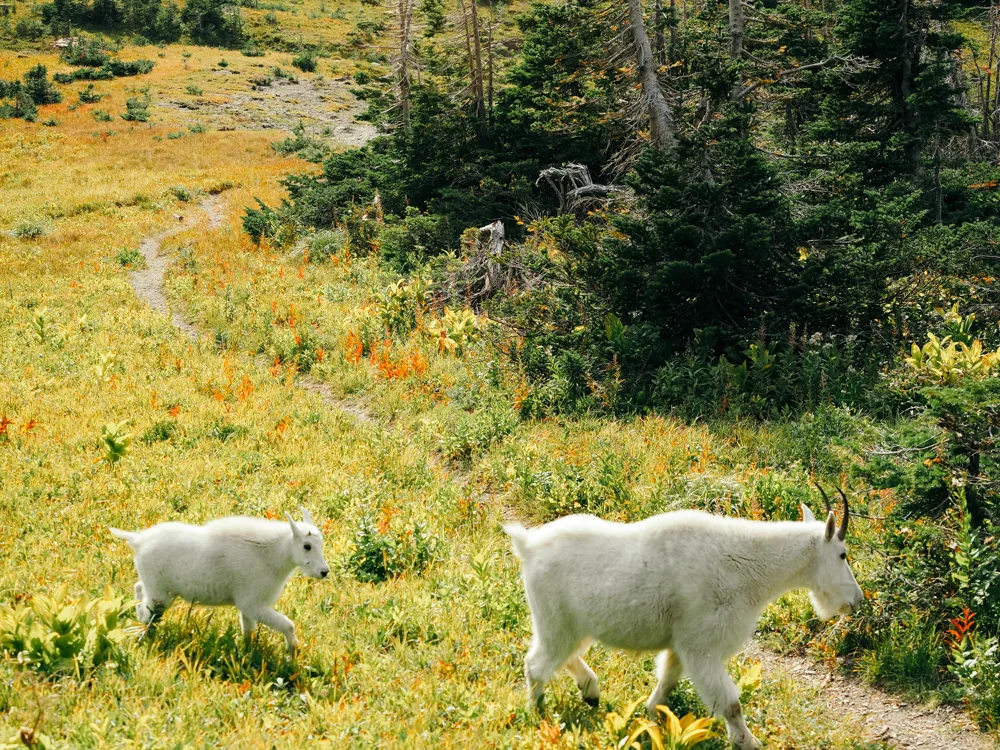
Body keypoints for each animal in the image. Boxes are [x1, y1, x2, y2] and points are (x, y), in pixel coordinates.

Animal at [110, 508, 330, 656]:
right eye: (307, 546)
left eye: (320, 543)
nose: (324, 571)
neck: (271, 555)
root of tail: (138, 540)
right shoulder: (252, 603)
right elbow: (288, 625)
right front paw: (292, 651)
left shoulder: (249, 607)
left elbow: (248, 631)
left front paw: (248, 653)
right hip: (160, 592)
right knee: (147, 609)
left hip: (159, 590)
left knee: (139, 589)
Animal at [504, 484, 864, 748]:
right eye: (842, 554)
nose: (856, 600)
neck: (747, 565)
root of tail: (528, 545)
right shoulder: (701, 645)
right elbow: (730, 704)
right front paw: (748, 742)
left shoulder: (681, 644)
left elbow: (667, 681)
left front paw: (649, 715)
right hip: (554, 621)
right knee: (537, 664)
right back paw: (539, 714)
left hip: (571, 625)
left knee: (564, 656)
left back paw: (590, 691)